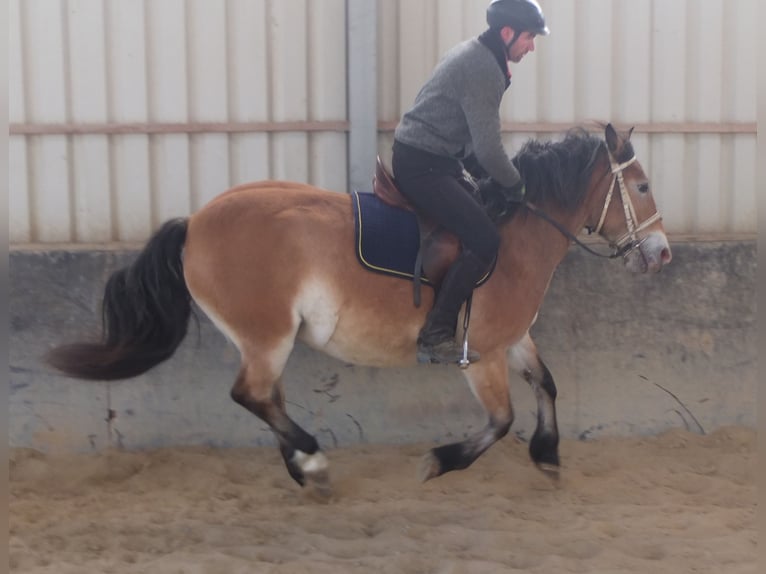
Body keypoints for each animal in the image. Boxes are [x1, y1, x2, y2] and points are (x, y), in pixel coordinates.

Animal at [48, 125, 672, 500]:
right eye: (641, 186)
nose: (663, 253)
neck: (514, 233)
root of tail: (195, 222)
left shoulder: (513, 339)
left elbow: (547, 384)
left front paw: (548, 456)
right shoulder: (482, 354)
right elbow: (500, 421)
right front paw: (440, 461)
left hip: (265, 338)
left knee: (267, 398)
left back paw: (303, 466)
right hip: (267, 334)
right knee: (252, 395)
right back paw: (312, 463)